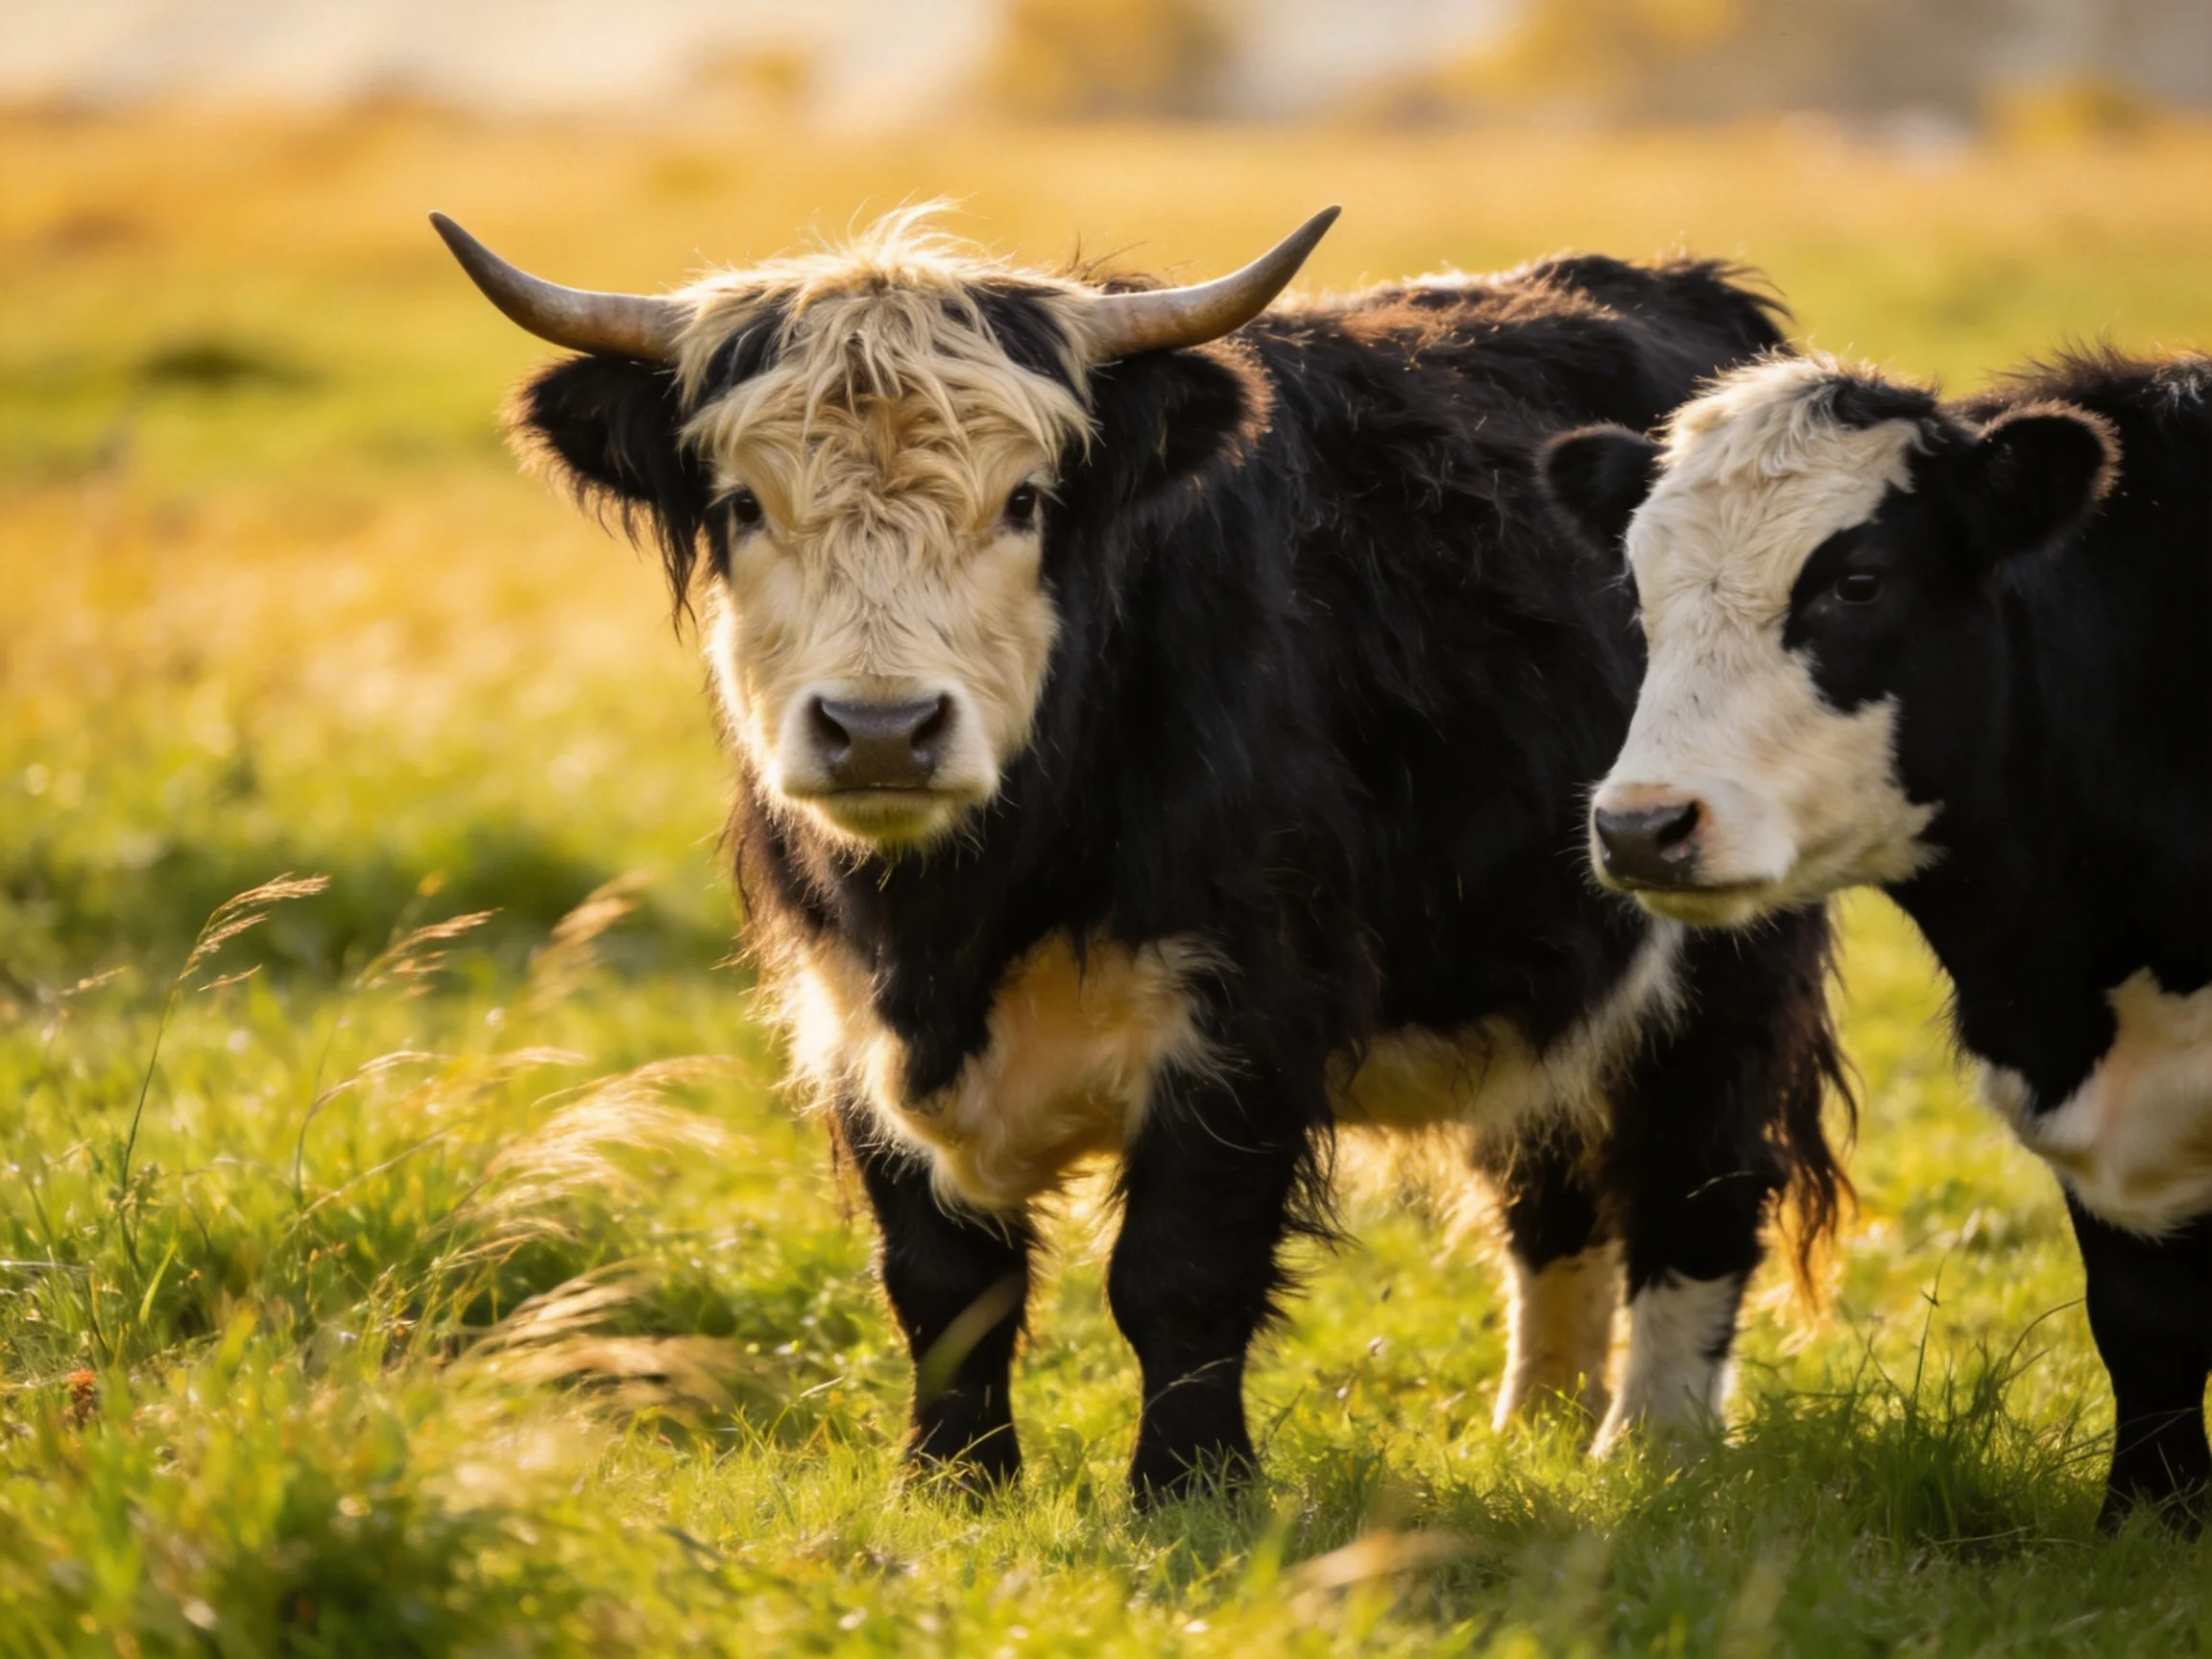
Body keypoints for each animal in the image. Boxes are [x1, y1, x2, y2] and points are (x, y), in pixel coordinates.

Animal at [432, 204, 1849, 1506]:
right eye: (742, 504)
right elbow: (944, 1283)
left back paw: (1651, 1454)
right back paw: (1535, 1432)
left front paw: (1192, 1490)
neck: (959, 922)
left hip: (1719, 945)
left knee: (1694, 1186)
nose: (881, 729)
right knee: (1549, 1199)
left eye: (1024, 500)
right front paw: (955, 1485)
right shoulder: (847, 1024)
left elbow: (1178, 1272)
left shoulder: (1245, 1018)